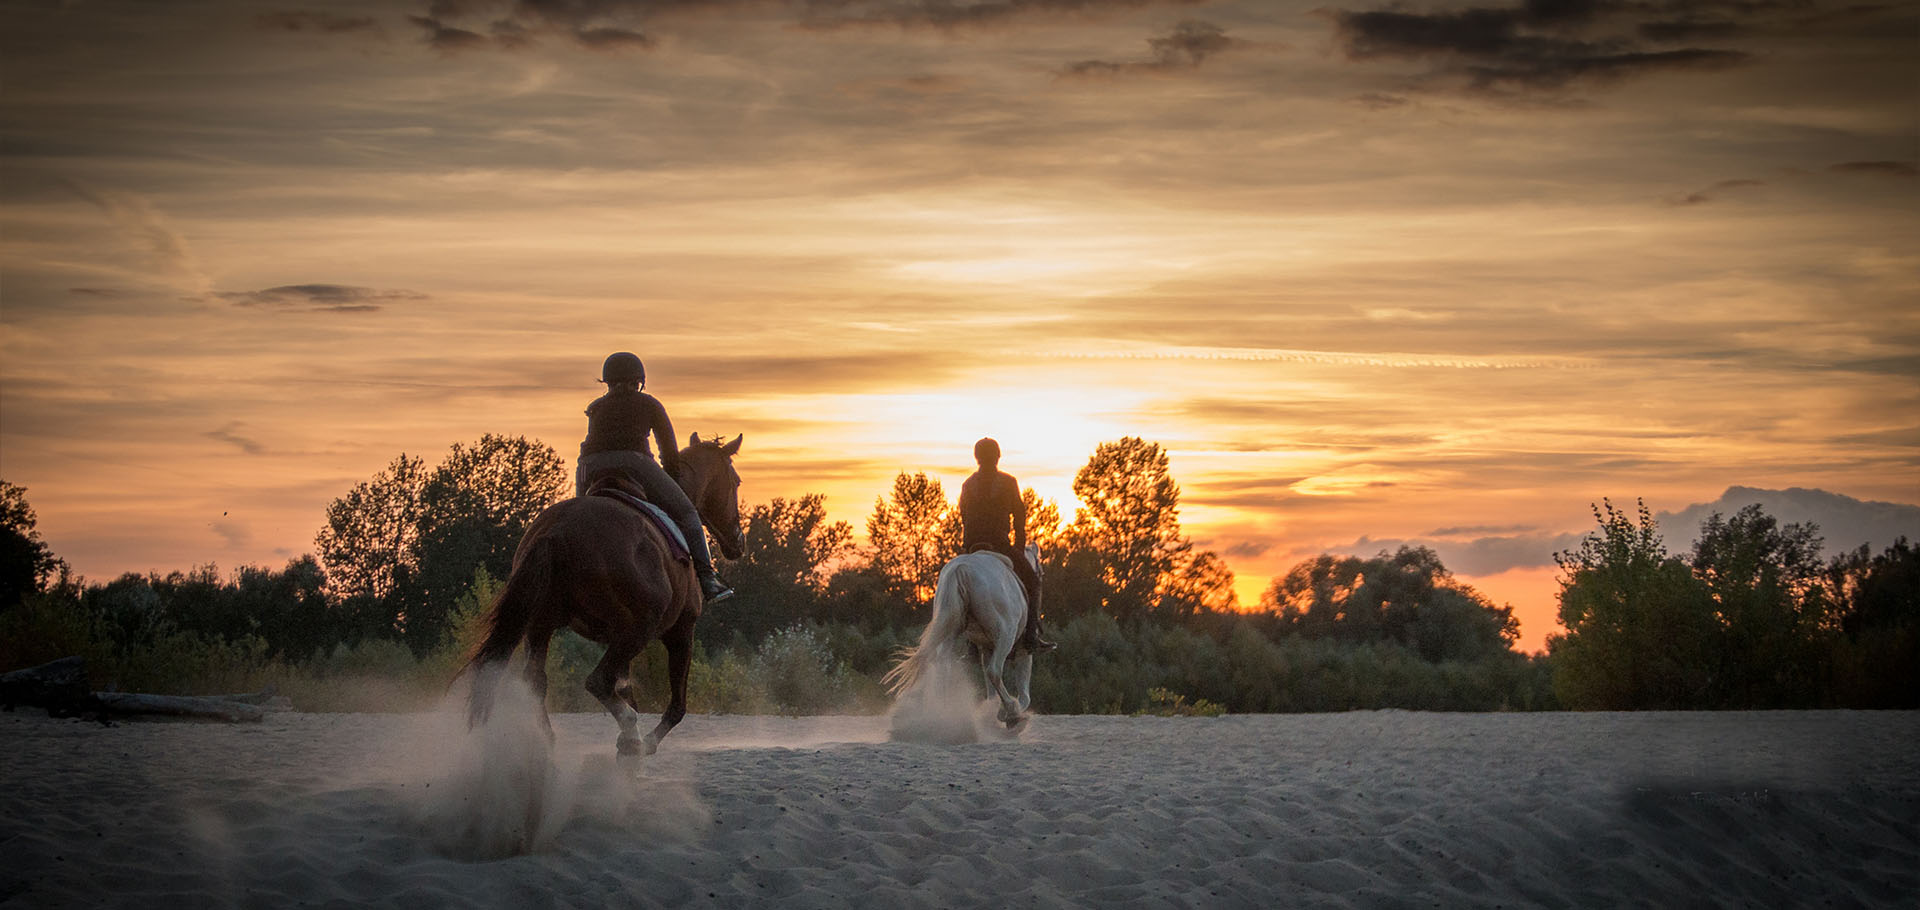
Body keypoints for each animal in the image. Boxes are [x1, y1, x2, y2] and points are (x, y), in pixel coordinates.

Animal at [460, 431, 744, 752]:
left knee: (538, 682)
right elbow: (676, 706)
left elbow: (627, 687)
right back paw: (631, 732)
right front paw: (644, 742)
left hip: (541, 624)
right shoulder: (681, 631)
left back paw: (548, 741)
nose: (738, 541)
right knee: (598, 681)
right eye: (735, 481)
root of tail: (557, 531)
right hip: (637, 629)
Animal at [879, 545, 1036, 729]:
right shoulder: (1022, 650)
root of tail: (961, 569)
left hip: (949, 629)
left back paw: (942, 714)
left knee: (943, 668)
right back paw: (1012, 711)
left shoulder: (987, 648)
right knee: (994, 671)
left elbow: (991, 689)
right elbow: (1024, 693)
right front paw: (1009, 712)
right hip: (1005, 635)